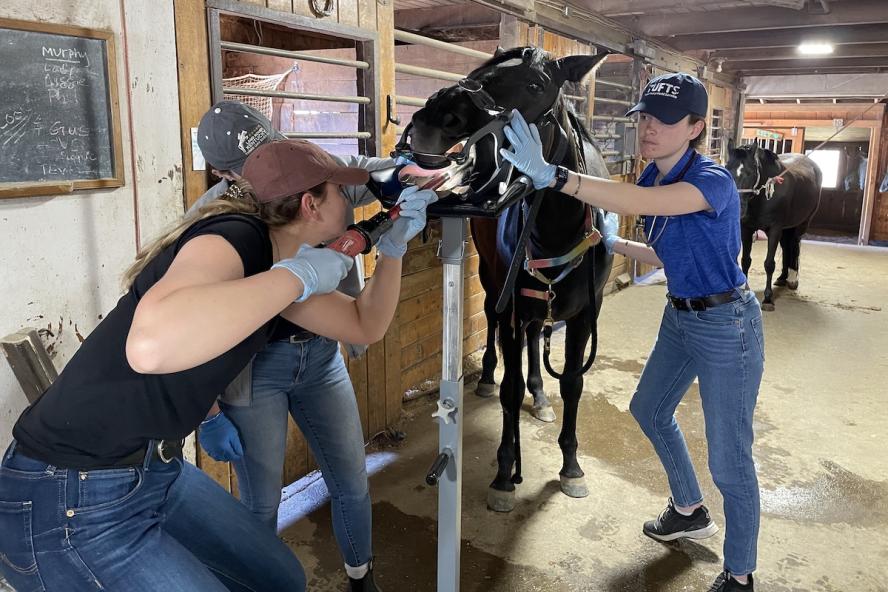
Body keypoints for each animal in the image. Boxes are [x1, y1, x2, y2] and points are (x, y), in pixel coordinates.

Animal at [406, 46, 612, 512]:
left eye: (536, 85)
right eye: (478, 72)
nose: (433, 115)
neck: (556, 228)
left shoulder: (585, 315)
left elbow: (572, 383)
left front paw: (571, 467)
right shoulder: (513, 306)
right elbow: (509, 390)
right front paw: (504, 474)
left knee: (538, 341)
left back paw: (541, 395)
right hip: (493, 285)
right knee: (496, 325)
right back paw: (486, 378)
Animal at [724, 143, 824, 310]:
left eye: (751, 172)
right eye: (726, 169)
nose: (736, 208)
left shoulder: (775, 230)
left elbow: (769, 264)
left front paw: (768, 299)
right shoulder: (746, 229)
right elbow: (745, 260)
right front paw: (745, 291)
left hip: (800, 225)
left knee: (795, 246)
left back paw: (792, 279)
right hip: (786, 229)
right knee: (786, 247)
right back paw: (783, 278)